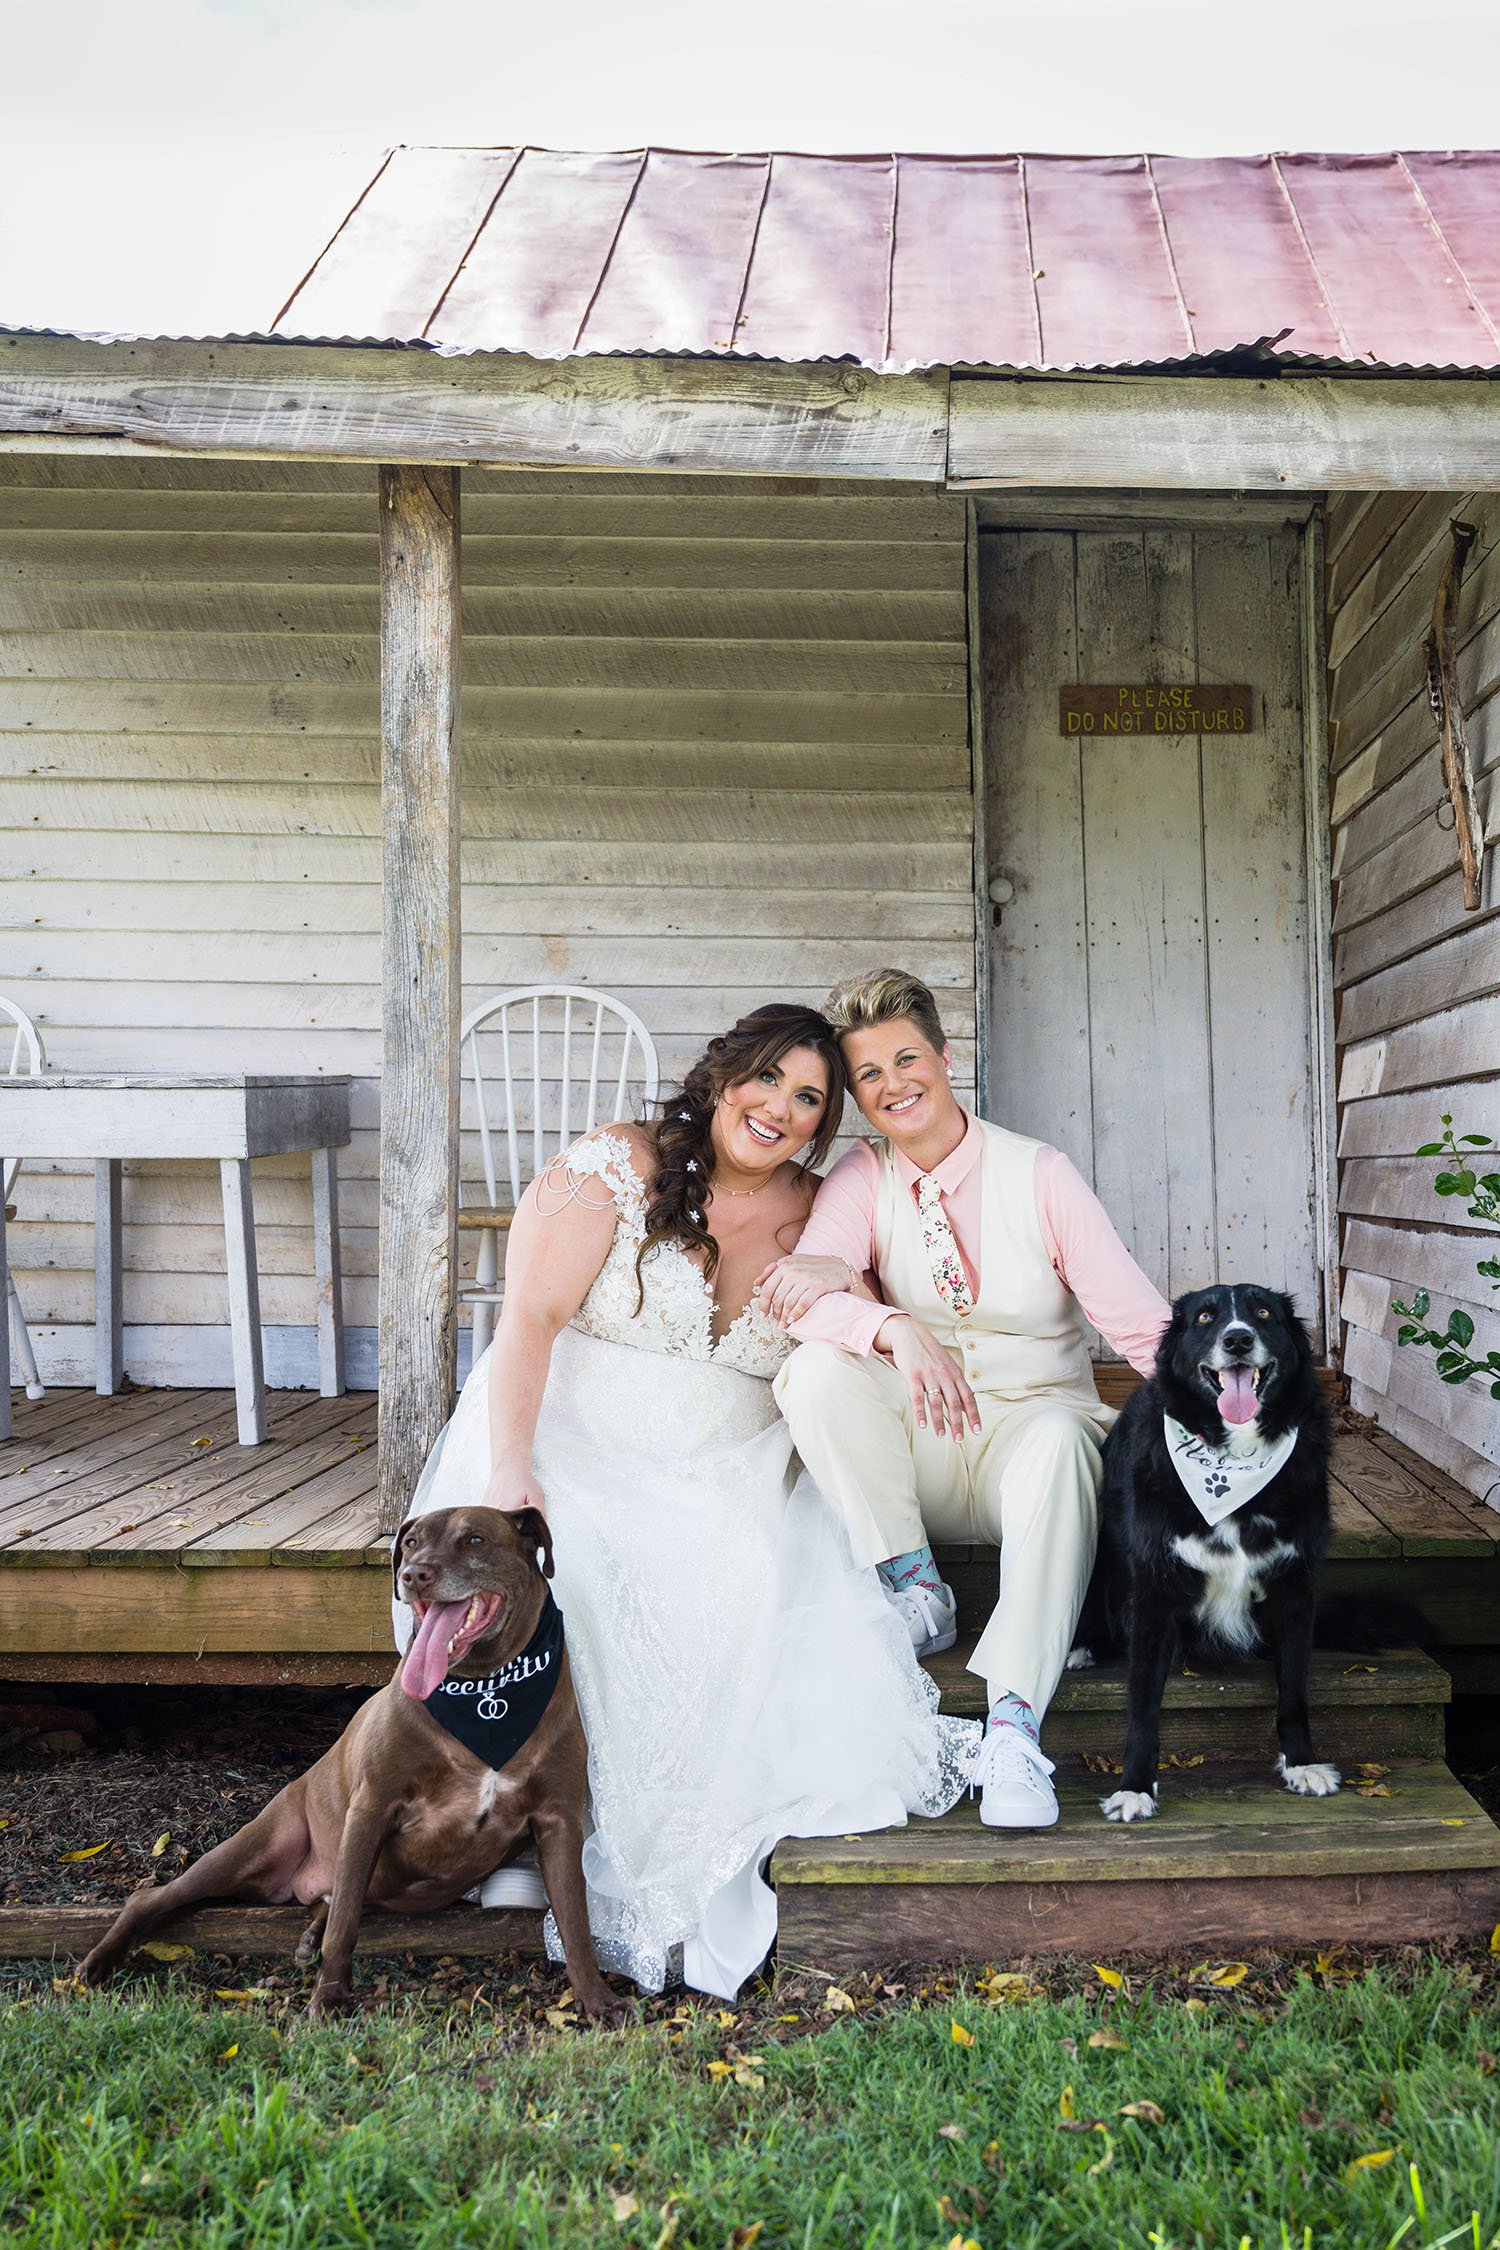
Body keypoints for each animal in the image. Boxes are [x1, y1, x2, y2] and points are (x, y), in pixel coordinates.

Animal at [80, 1512, 620, 2025]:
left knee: (335, 1898)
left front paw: (596, 2000)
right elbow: (344, 1930)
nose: (413, 1573)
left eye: (475, 1539)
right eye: (411, 1541)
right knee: (156, 1897)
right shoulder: (370, 1807)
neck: (485, 1693)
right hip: (251, 1849)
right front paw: (330, 1996)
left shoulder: (558, 1821)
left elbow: (575, 1922)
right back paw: (100, 1961)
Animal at [1074, 1287, 1340, 1827]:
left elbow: (1295, 1689)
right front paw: (1134, 1787)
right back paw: (1084, 1647)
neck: (1232, 1458)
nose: (1237, 1340)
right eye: (1204, 1317)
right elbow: (1142, 1703)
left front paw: (1301, 1763)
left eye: (1264, 1313)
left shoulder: (1294, 1589)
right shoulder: (1154, 1594)